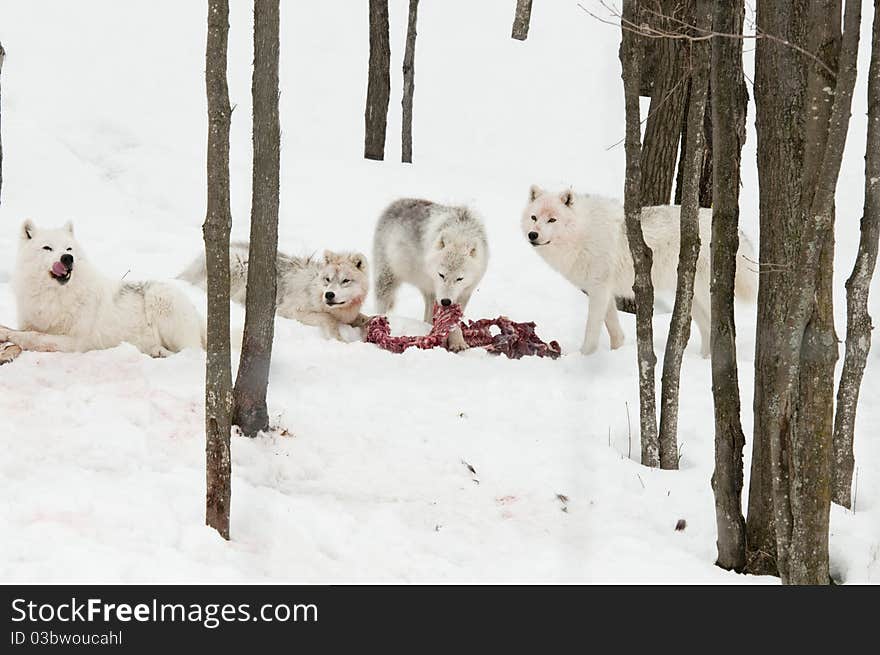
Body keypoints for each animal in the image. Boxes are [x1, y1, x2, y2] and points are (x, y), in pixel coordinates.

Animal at [0, 220, 205, 356]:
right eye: (47, 248)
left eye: (69, 249)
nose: (67, 259)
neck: (53, 297)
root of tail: (199, 316)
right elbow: (25, 330)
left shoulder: (75, 342)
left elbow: (34, 336)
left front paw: (7, 334)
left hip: (160, 297)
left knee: (190, 351)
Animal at [179, 242, 372, 344]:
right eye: (328, 279)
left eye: (345, 281)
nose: (329, 295)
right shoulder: (291, 311)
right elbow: (328, 319)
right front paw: (340, 340)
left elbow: (364, 318)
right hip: (241, 267)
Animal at [372, 199, 488, 354]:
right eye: (441, 275)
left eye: (459, 279)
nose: (446, 301)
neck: (459, 233)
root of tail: (396, 202)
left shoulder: (465, 292)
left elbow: (454, 320)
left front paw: (457, 342)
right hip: (387, 278)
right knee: (381, 303)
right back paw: (379, 323)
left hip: (428, 289)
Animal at [524, 184, 756, 358]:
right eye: (534, 218)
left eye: (552, 219)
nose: (532, 235)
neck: (583, 232)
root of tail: (737, 232)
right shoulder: (603, 290)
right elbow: (614, 330)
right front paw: (616, 351)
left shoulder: (599, 290)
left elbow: (592, 330)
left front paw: (584, 357)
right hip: (689, 299)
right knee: (707, 329)